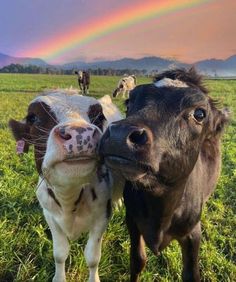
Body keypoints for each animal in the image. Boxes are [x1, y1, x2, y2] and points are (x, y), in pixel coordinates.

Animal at [8, 91, 123, 282]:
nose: (80, 133)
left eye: (99, 117)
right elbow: (60, 254)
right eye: (33, 117)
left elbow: (92, 257)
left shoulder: (102, 216)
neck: (69, 199)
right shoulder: (50, 216)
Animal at [99, 67, 229, 280]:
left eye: (199, 113)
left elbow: (191, 274)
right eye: (130, 102)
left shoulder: (193, 233)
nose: (119, 134)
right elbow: (138, 261)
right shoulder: (132, 220)